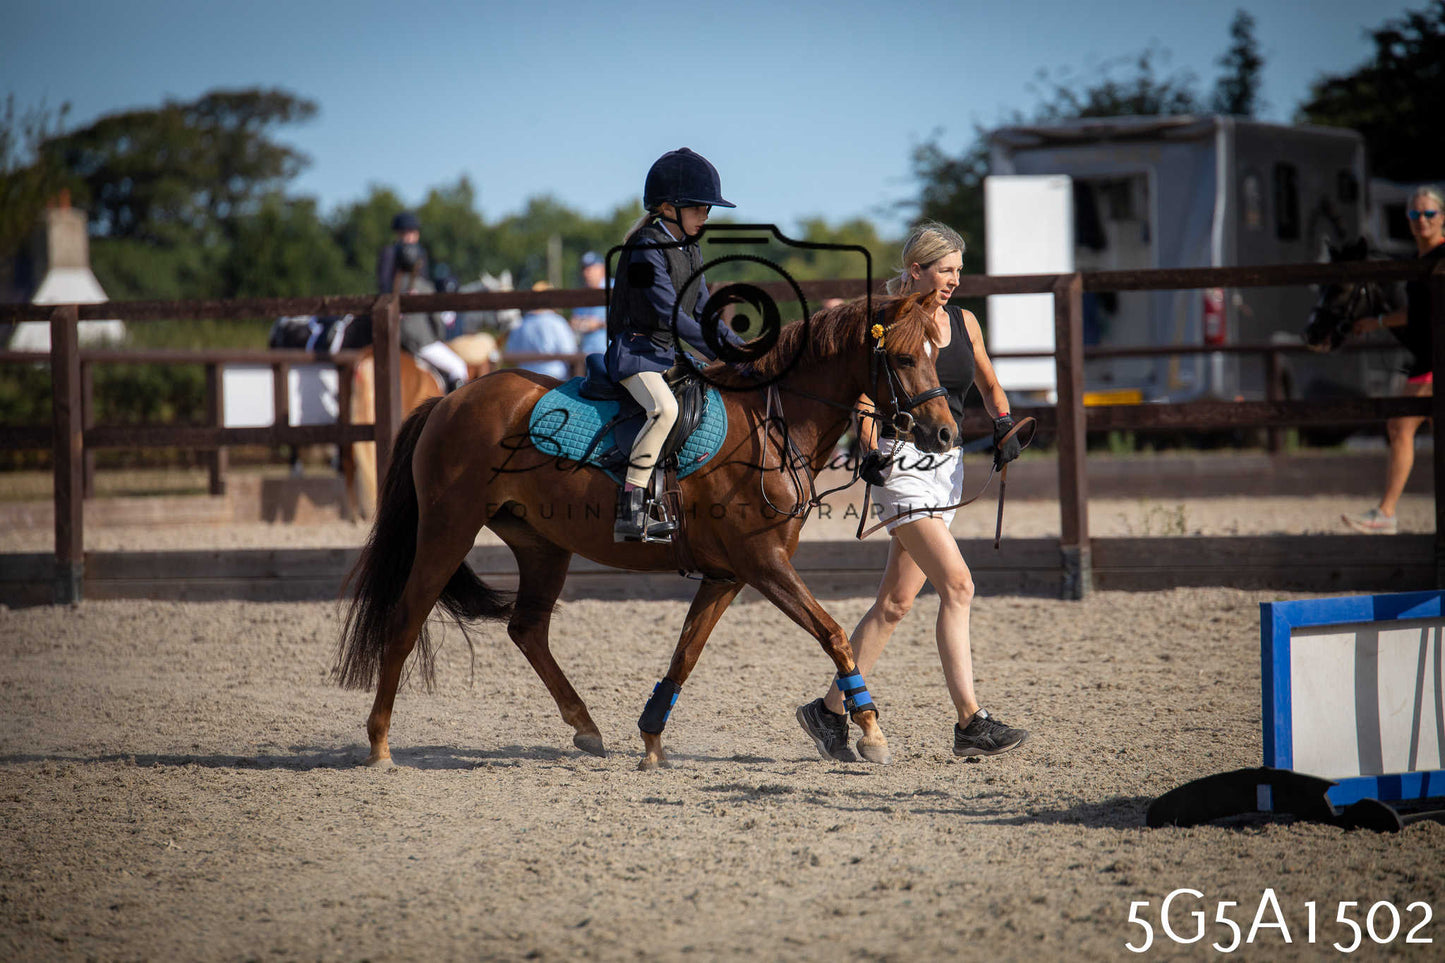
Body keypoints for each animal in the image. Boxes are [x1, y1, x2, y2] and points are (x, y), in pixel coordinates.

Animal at [334, 291, 957, 769]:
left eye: (936, 353)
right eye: (904, 358)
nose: (946, 434)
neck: (771, 424)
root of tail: (450, 400)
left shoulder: (728, 575)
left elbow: (686, 653)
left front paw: (652, 739)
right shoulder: (764, 564)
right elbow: (834, 634)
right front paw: (871, 731)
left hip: (542, 546)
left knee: (527, 629)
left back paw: (586, 727)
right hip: (448, 531)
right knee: (406, 619)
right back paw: (380, 745)